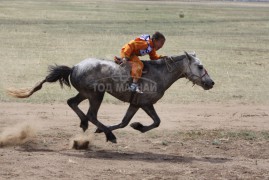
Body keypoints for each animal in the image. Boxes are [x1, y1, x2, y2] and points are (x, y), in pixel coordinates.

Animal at [7, 51, 214, 143]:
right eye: (200, 66)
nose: (211, 82)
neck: (159, 73)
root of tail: (74, 67)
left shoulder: (135, 104)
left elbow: (125, 122)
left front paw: (133, 126)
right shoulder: (146, 103)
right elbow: (156, 122)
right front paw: (136, 127)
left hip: (86, 93)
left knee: (72, 103)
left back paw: (86, 125)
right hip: (96, 95)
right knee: (91, 114)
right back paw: (108, 134)